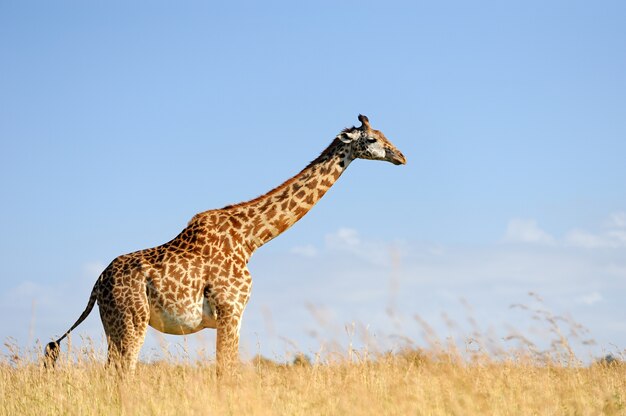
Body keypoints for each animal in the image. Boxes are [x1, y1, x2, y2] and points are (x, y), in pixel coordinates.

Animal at [44, 114, 404, 374]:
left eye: (384, 134)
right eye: (372, 139)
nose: (401, 156)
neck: (251, 238)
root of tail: (96, 285)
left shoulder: (235, 315)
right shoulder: (231, 309)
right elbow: (225, 371)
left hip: (114, 325)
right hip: (130, 321)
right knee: (120, 373)